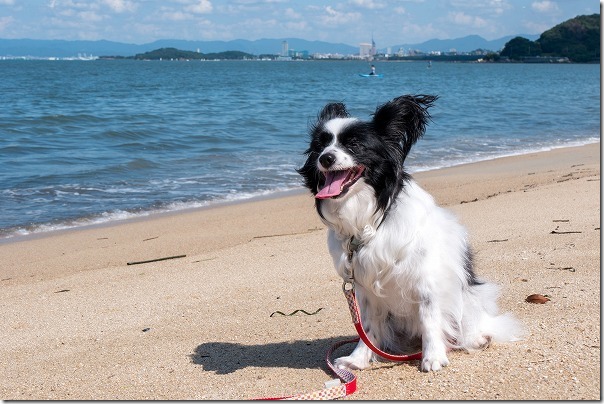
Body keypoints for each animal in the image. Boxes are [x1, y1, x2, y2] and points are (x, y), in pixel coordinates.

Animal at [298, 95, 524, 372]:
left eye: (354, 145)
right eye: (319, 147)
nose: (325, 158)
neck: (371, 219)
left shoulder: (426, 281)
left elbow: (430, 320)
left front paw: (433, 356)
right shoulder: (365, 290)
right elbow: (367, 327)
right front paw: (358, 358)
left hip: (470, 298)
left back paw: (477, 338)